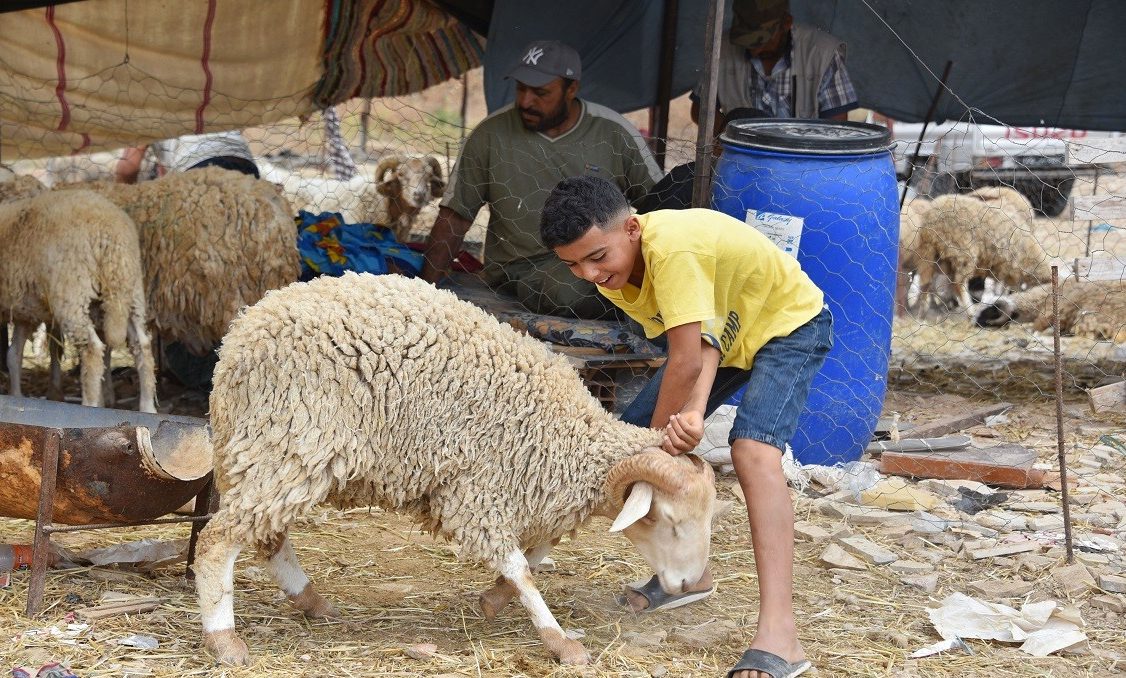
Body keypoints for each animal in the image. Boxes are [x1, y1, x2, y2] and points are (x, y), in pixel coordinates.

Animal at [1, 190, 156, 411]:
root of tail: (110, 234)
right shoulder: (24, 311)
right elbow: (14, 355)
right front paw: (16, 396)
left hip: (72, 294)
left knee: (91, 350)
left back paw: (90, 404)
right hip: (129, 291)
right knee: (141, 346)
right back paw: (147, 407)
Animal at [194, 272, 717, 666]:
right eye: (670, 522)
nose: (688, 584)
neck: (565, 435)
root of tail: (238, 339)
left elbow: (537, 553)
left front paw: (494, 601)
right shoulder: (476, 490)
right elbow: (522, 567)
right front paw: (560, 641)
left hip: (274, 454)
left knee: (267, 536)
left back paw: (311, 602)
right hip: (290, 443)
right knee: (218, 540)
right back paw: (225, 640)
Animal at [913, 187, 1050, 317]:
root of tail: (932, 217)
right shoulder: (1009, 267)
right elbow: (1007, 287)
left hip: (928, 252)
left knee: (926, 282)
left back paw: (923, 312)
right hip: (963, 252)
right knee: (958, 283)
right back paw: (969, 311)